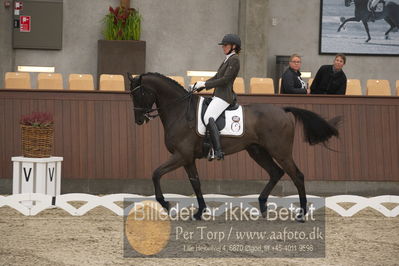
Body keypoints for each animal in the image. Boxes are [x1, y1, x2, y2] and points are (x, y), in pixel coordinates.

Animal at [129, 72, 340, 220]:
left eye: (139, 93)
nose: (139, 120)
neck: (180, 111)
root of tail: (283, 110)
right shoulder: (187, 158)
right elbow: (195, 182)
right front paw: (199, 212)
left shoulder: (181, 155)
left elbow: (156, 173)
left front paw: (165, 203)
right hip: (257, 151)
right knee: (276, 172)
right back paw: (262, 206)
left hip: (281, 152)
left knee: (297, 176)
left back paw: (301, 214)